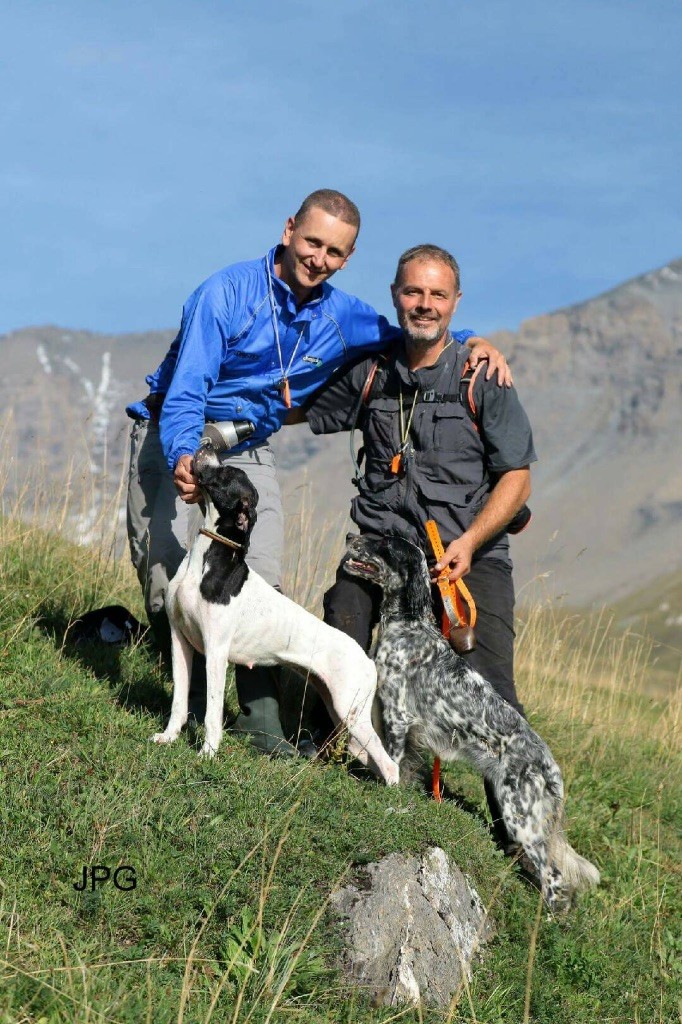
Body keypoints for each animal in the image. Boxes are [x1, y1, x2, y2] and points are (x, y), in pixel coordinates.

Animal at [150, 444, 399, 786]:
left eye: (228, 472)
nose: (208, 445)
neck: (206, 559)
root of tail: (368, 659)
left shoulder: (216, 652)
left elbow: (212, 712)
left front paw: (207, 754)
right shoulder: (181, 642)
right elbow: (179, 701)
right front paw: (168, 737)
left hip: (350, 708)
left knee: (390, 764)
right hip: (339, 707)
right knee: (365, 752)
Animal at [342, 532, 598, 909]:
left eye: (384, 543)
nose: (350, 535)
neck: (408, 627)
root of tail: (549, 765)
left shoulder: (397, 716)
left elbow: (392, 764)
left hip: (520, 816)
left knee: (554, 877)